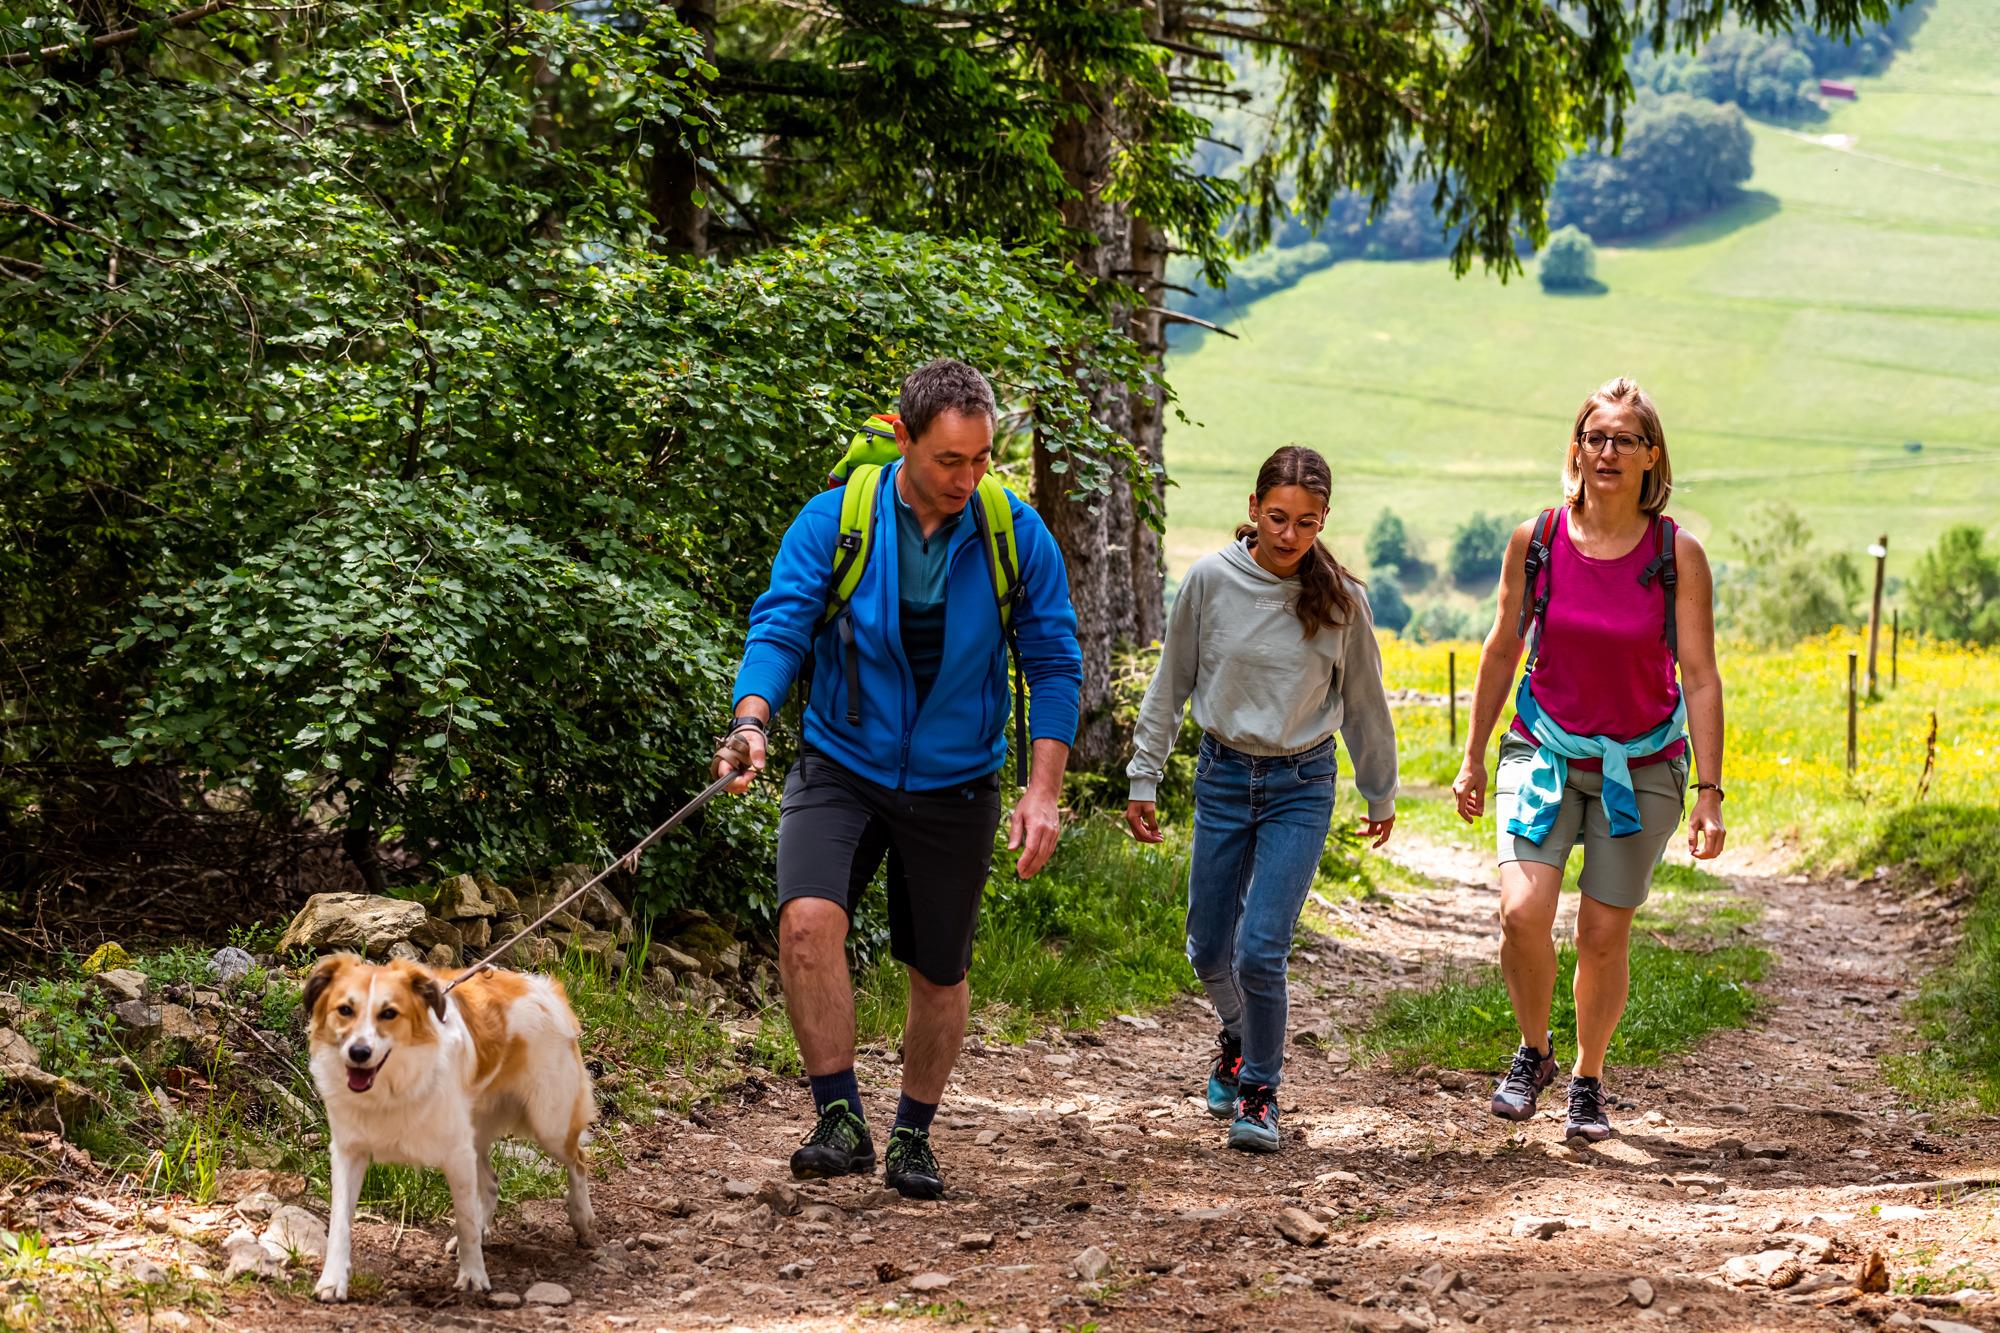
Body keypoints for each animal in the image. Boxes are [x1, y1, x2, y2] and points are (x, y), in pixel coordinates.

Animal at [301, 954, 597, 1301]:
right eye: (345, 1009)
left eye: (389, 1013)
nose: (358, 1053)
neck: (393, 1086)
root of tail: (544, 986)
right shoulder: (348, 1152)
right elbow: (339, 1223)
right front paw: (333, 1280)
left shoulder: (456, 1154)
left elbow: (465, 1220)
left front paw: (473, 1276)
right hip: (477, 1133)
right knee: (491, 1182)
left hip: (549, 1123)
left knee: (579, 1161)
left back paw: (582, 1217)